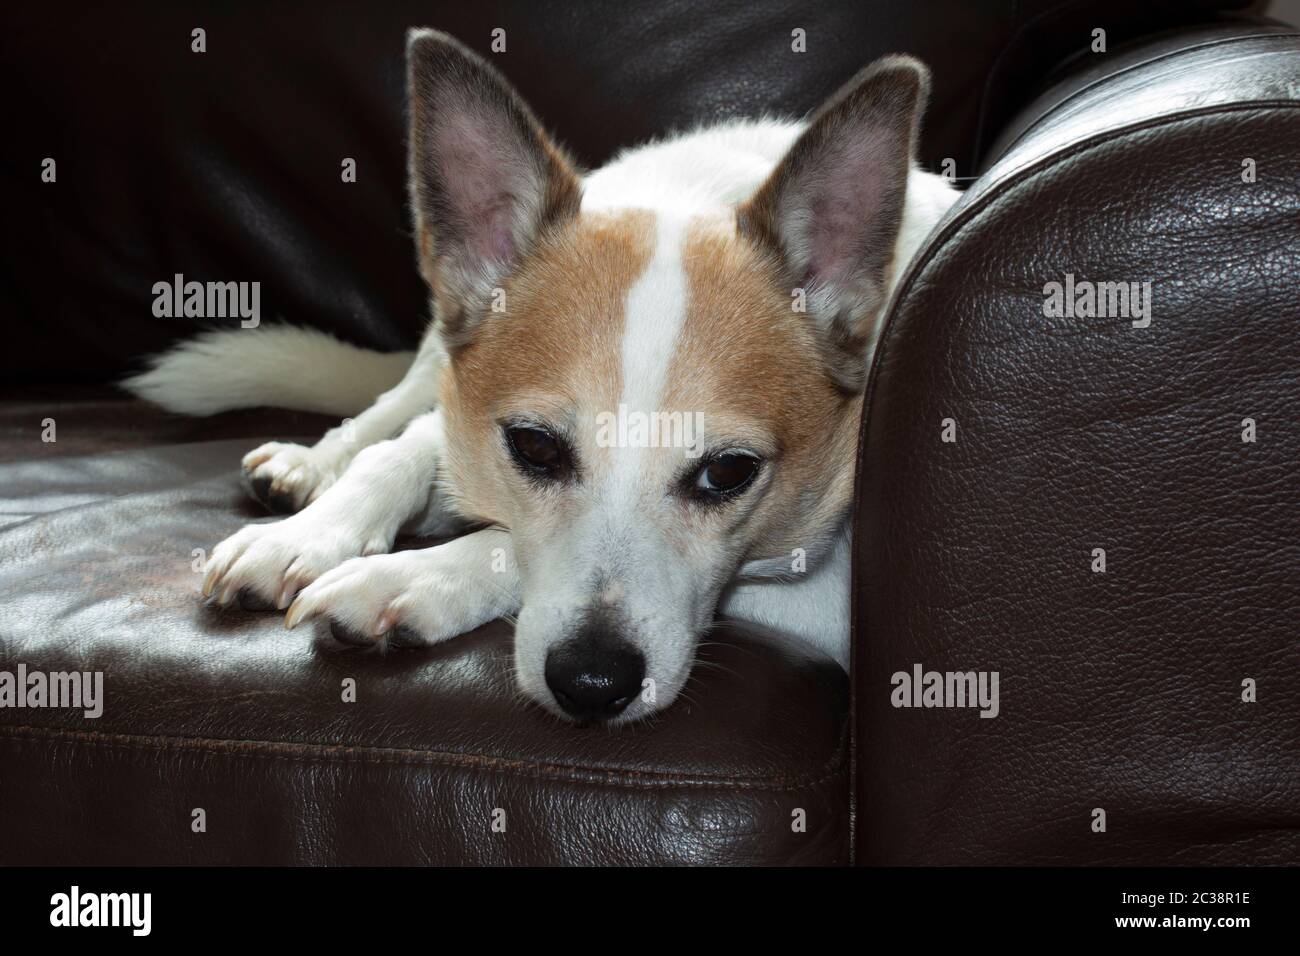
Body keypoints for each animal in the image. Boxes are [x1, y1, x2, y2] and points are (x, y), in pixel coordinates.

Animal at [126, 29, 956, 723]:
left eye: (728, 472)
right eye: (534, 447)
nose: (593, 684)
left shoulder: (825, 590)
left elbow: (497, 541)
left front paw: (407, 578)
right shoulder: (470, 411)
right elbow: (405, 451)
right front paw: (308, 534)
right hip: (436, 353)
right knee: (389, 412)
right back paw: (305, 469)